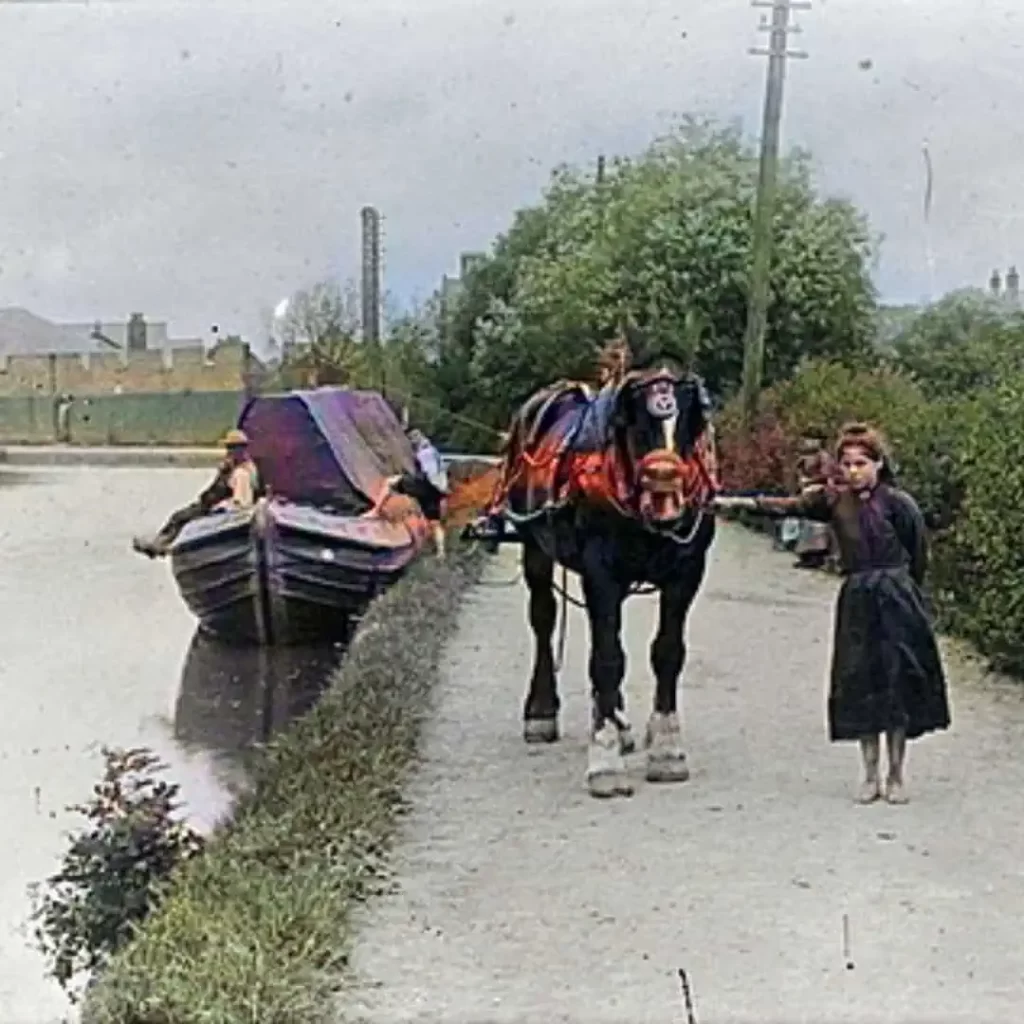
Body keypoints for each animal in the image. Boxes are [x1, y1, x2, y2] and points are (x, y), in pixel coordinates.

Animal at [481, 344, 716, 798]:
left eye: (688, 422)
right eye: (637, 423)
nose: (666, 497)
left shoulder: (686, 574)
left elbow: (667, 652)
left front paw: (666, 748)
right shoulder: (601, 574)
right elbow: (606, 658)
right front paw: (604, 760)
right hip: (535, 548)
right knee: (543, 618)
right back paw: (542, 711)